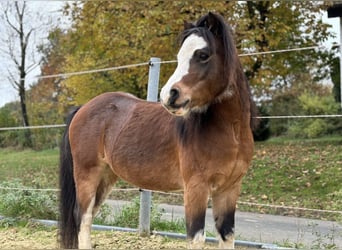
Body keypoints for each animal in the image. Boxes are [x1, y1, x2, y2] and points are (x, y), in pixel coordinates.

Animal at [59, 12, 256, 249]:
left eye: (203, 54)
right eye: (180, 56)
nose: (169, 95)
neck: (232, 132)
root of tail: (83, 108)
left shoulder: (229, 189)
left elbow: (227, 235)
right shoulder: (196, 189)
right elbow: (196, 238)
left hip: (106, 177)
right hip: (87, 174)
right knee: (84, 218)